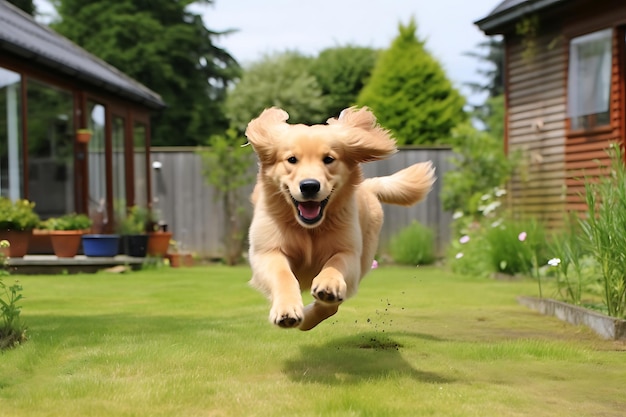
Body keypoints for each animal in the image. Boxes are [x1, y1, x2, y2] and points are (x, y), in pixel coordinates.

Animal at [244, 107, 434, 332]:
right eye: (291, 159)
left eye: (328, 159)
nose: (309, 186)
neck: (308, 228)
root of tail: (368, 186)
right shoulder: (266, 252)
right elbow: (282, 274)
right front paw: (287, 310)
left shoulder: (350, 254)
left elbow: (336, 262)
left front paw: (328, 285)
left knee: (332, 306)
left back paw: (310, 316)